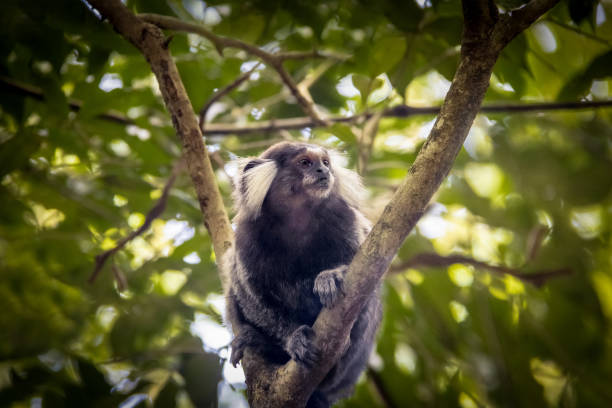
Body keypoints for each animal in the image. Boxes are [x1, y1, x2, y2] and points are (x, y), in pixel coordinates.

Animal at [225, 142, 380, 406]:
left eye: (325, 162)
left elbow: (369, 270)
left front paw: (329, 277)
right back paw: (257, 341)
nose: (322, 171)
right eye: (305, 163)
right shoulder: (246, 238)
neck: (296, 218)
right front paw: (293, 338)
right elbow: (252, 296)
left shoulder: (344, 217)